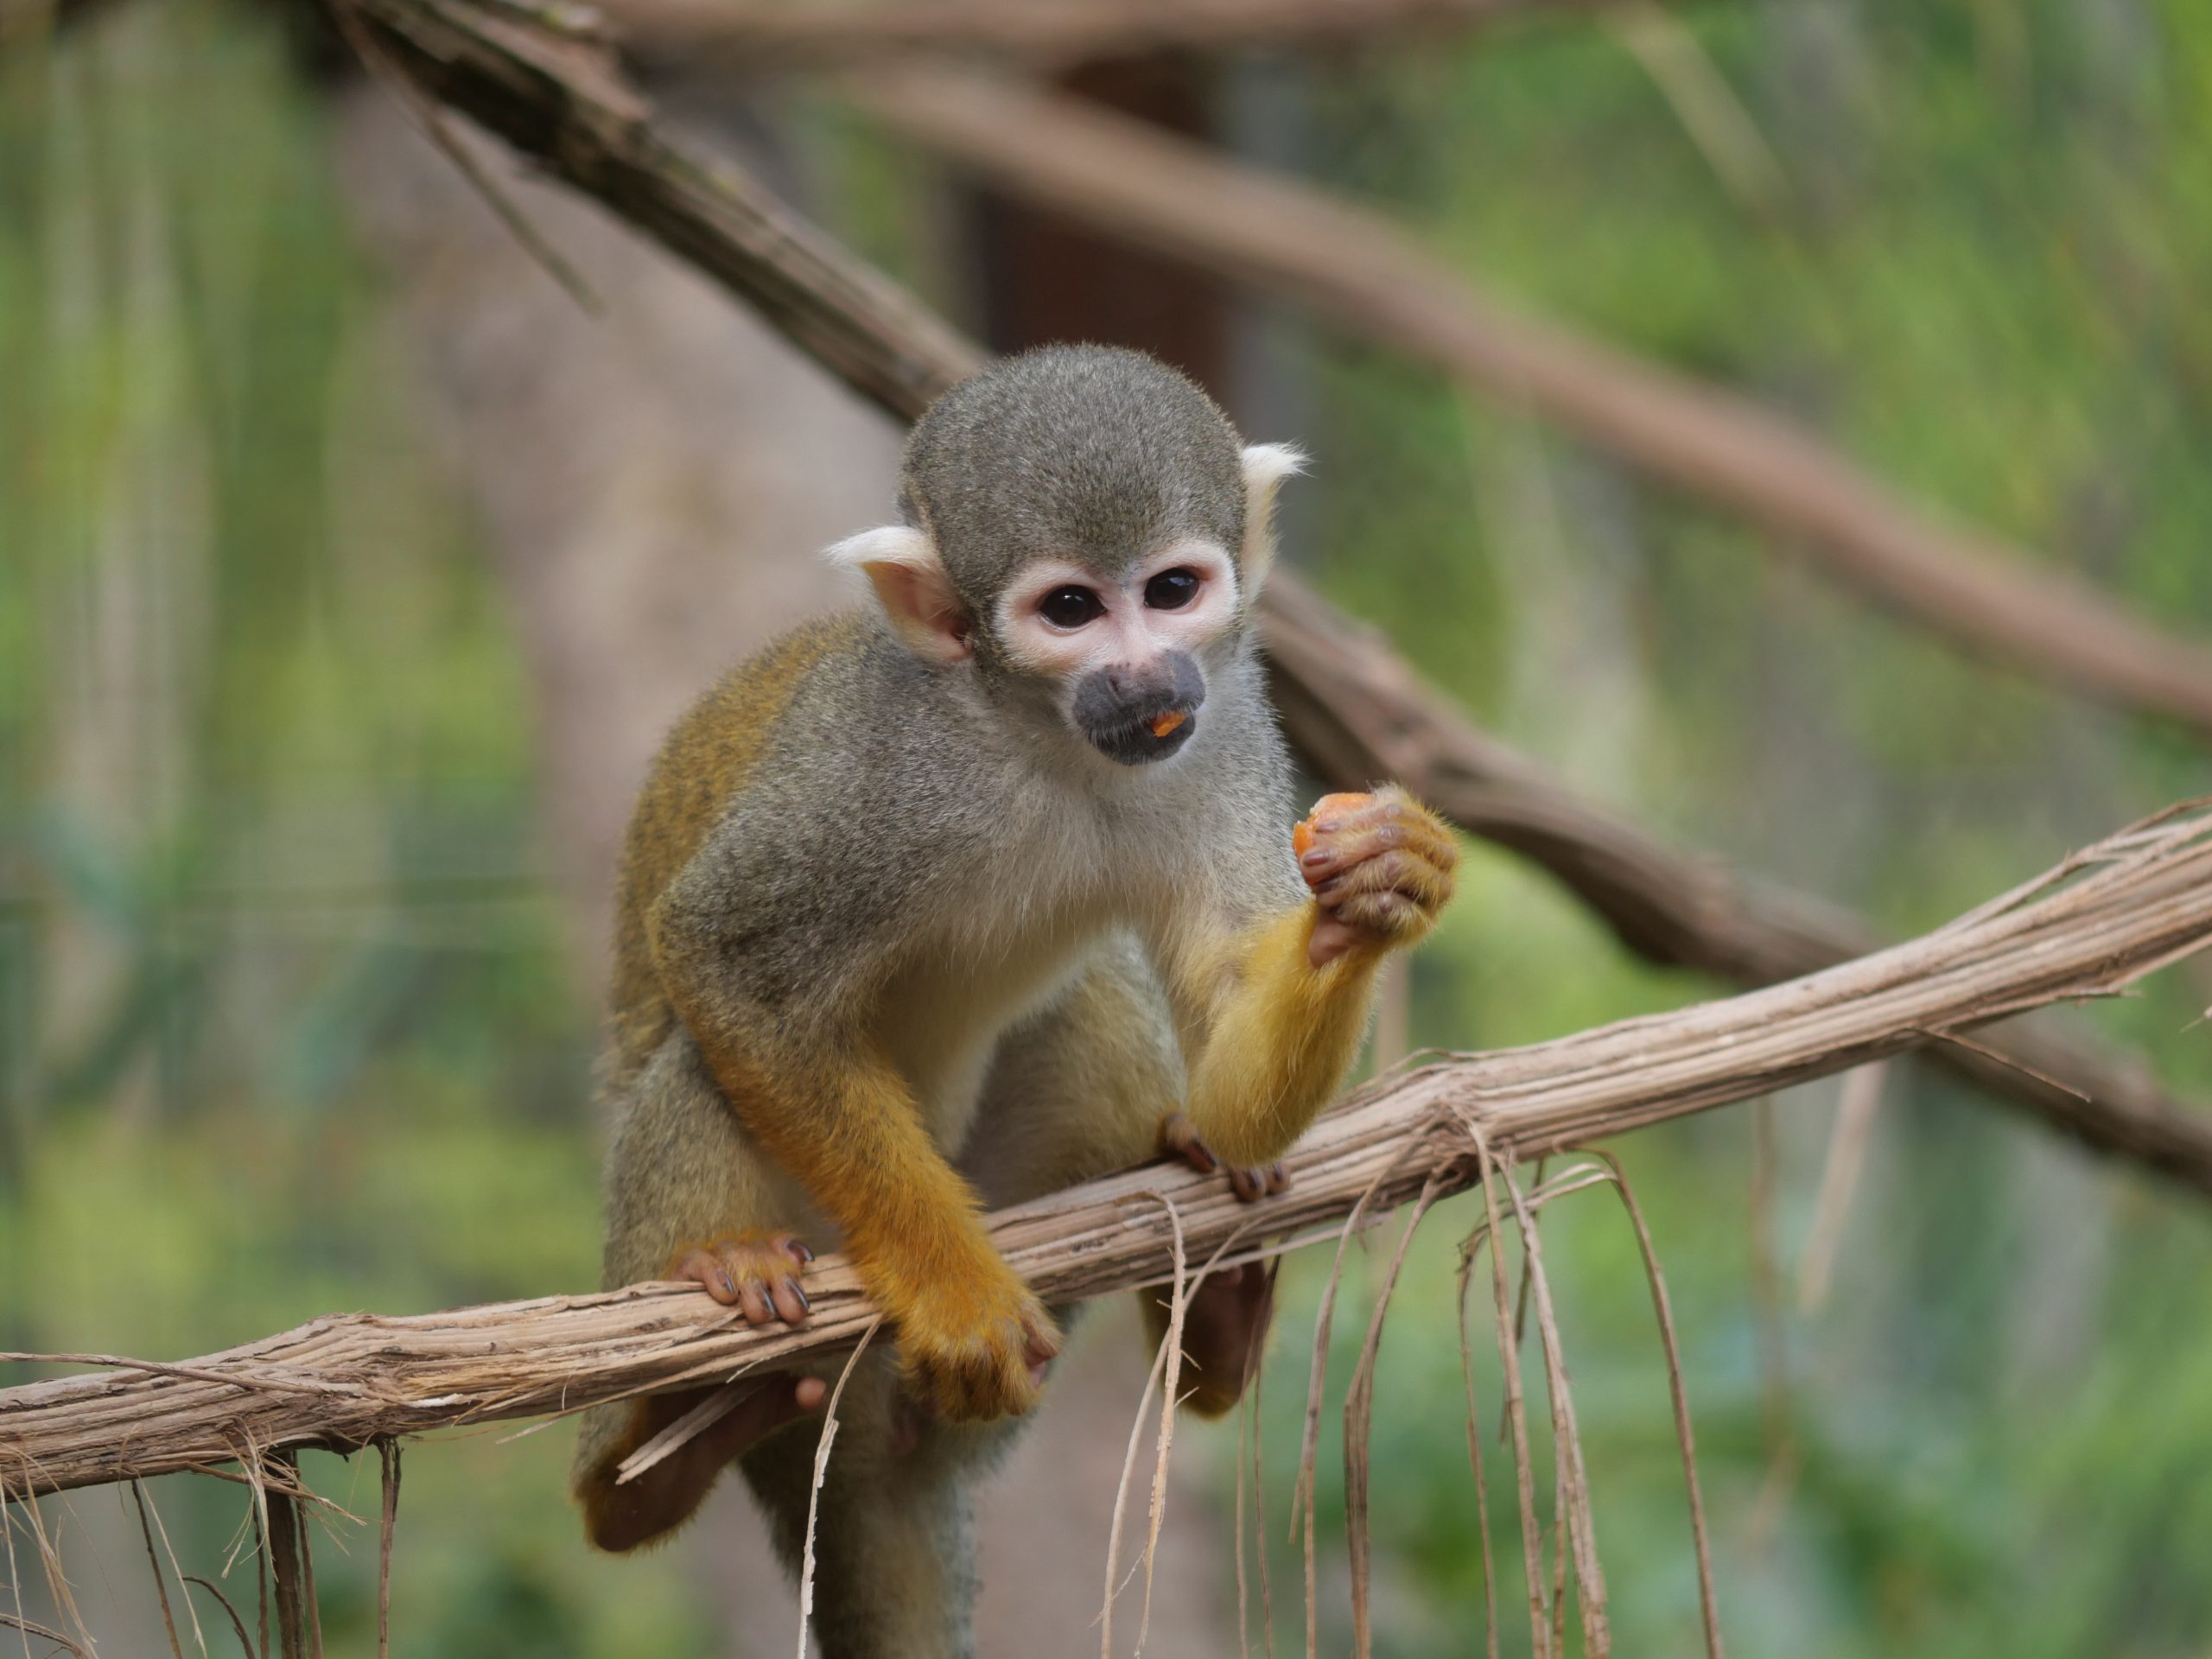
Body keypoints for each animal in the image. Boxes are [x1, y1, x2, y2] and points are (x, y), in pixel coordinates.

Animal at [579, 345, 1459, 1654]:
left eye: (1173, 589)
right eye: (1070, 612)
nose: (1145, 675)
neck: (1045, 744)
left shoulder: (1224, 725)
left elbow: (1232, 1015)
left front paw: (1383, 885)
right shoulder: (881, 767)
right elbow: (724, 956)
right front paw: (954, 1294)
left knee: (1094, 1017)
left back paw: (1213, 1315)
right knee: (702, 1060)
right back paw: (652, 1451)